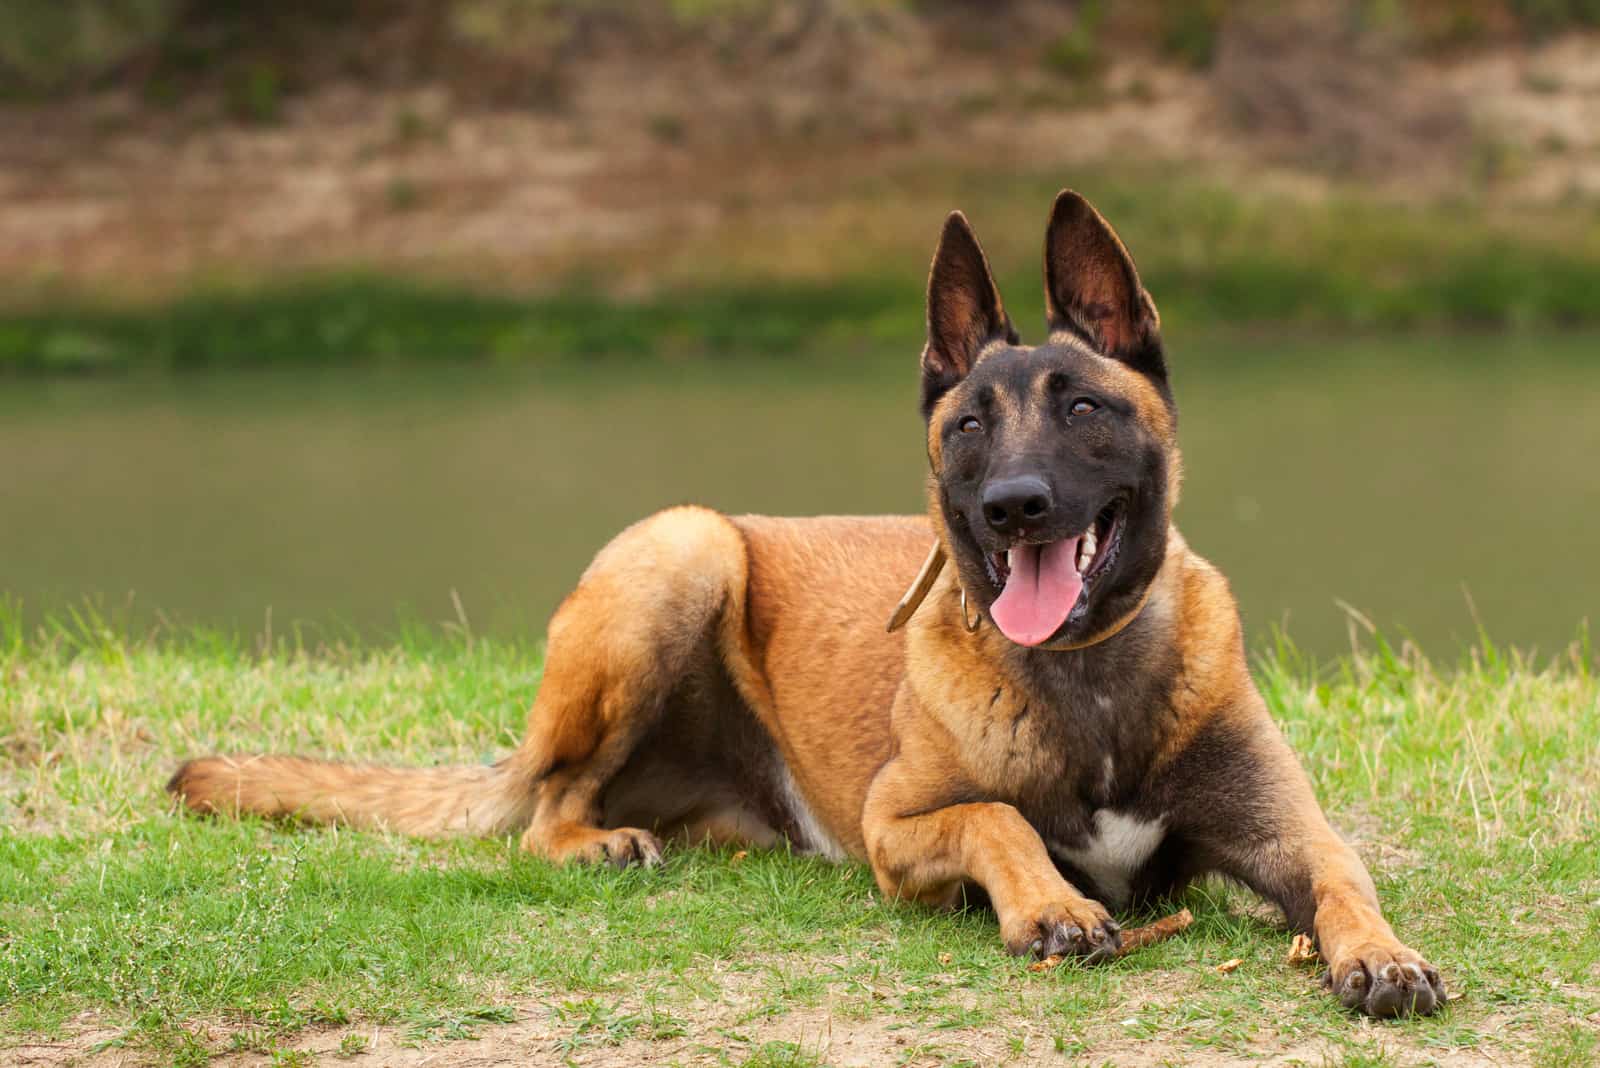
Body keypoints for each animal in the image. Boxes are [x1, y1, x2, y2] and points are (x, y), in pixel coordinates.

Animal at [168, 191, 1446, 1016]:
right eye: (969, 424)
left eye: (1084, 407)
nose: (1014, 509)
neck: (1087, 682)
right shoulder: (897, 828)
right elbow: (997, 816)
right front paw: (1051, 905)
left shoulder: (1288, 832)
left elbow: (1343, 874)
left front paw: (1380, 953)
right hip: (681, 549)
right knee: (545, 810)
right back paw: (595, 842)